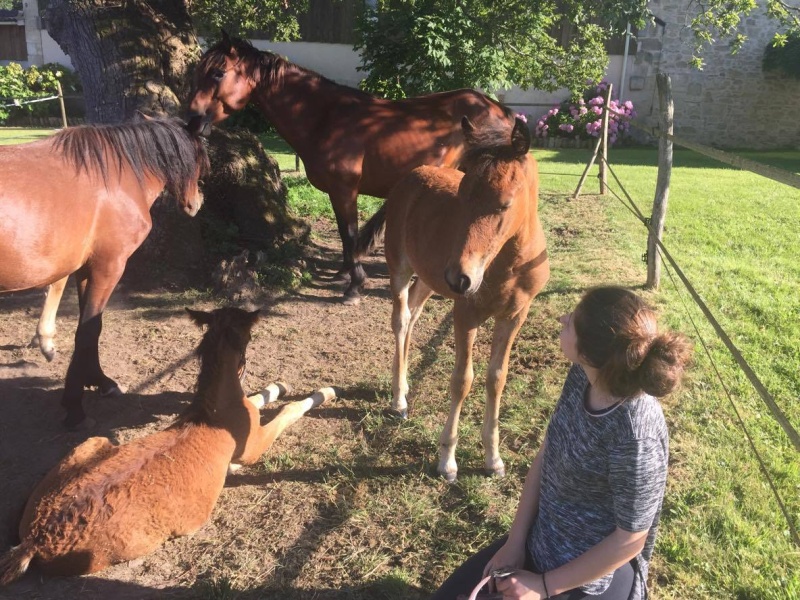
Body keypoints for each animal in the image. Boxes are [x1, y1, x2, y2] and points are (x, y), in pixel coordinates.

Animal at [0, 116, 209, 426]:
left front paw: (98, 380)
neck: (118, 177)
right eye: (198, 159)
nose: (196, 203)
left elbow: (87, 327)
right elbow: (90, 328)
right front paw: (74, 405)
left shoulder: (85, 270)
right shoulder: (108, 268)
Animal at [0, 308, 334, 584]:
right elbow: (286, 411)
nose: (244, 361)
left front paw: (281, 385)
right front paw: (325, 391)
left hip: (92, 444)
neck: (210, 410)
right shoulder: (252, 445)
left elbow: (259, 397)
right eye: (249, 336)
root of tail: (37, 539)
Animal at [187, 32, 512, 304]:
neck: (327, 117)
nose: (192, 121)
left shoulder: (346, 190)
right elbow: (345, 234)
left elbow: (351, 234)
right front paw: (343, 274)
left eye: (217, 72)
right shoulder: (335, 192)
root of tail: (500, 111)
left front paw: (354, 287)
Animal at [360, 118, 548, 482]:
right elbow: (463, 380)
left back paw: (405, 387)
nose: (460, 278)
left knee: (414, 314)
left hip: (429, 280)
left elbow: (496, 378)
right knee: (400, 320)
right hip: (401, 268)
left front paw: (493, 459)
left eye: (505, 203)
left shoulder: (515, 315)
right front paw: (447, 460)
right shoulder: (466, 314)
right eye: (461, 197)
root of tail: (411, 175)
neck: (509, 265)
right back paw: (398, 399)